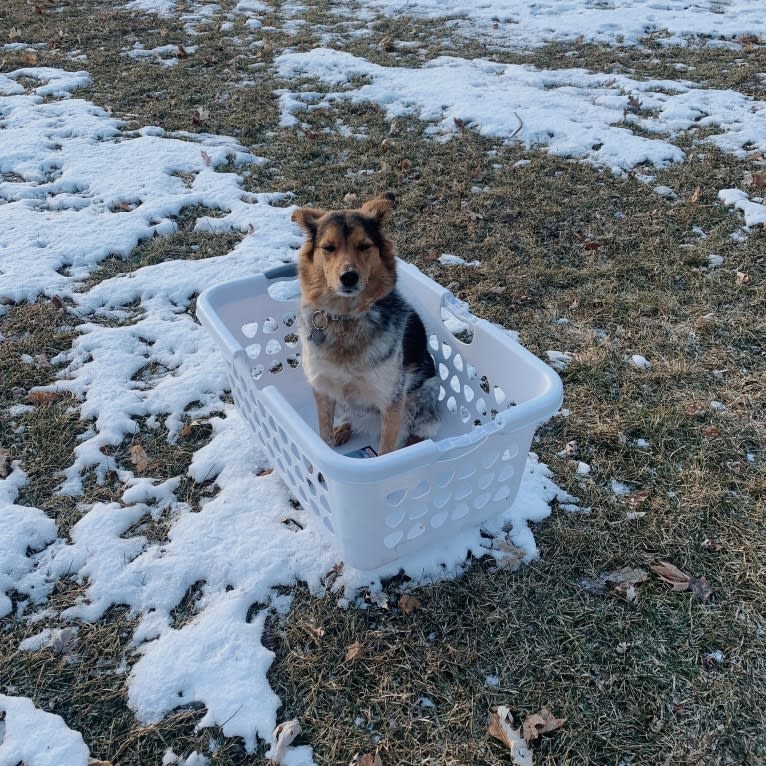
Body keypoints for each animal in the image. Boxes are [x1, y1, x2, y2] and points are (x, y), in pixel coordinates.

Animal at [292, 192, 440, 456]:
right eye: (328, 248)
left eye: (364, 246)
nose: (349, 277)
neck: (346, 318)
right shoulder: (323, 389)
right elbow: (324, 437)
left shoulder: (391, 401)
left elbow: (387, 453)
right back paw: (343, 430)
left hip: (421, 399)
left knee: (418, 435)